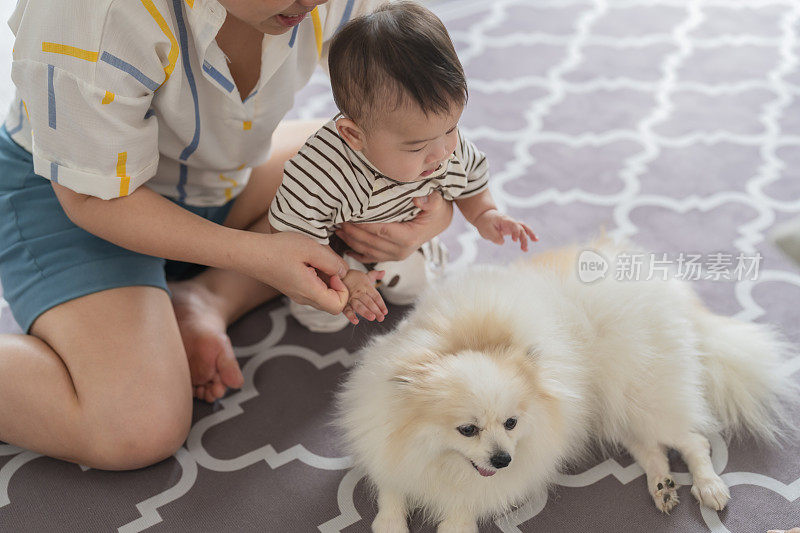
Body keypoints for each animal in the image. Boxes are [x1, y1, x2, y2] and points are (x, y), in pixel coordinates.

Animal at [334, 241, 796, 532]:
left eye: (512, 423)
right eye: (468, 430)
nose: (503, 459)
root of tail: (669, 290)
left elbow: (460, 513)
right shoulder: (385, 440)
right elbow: (390, 488)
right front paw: (389, 522)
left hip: (642, 394)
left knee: (693, 441)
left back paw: (710, 487)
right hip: (616, 409)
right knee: (650, 448)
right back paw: (662, 487)